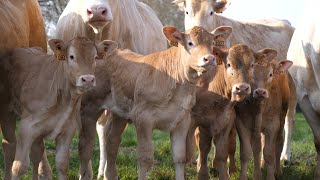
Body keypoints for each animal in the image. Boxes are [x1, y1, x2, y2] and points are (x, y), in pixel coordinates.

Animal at [172, 0, 298, 164]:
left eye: (211, 12)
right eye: (187, 12)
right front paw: (198, 159)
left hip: (293, 86)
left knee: (289, 119)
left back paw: (285, 156)